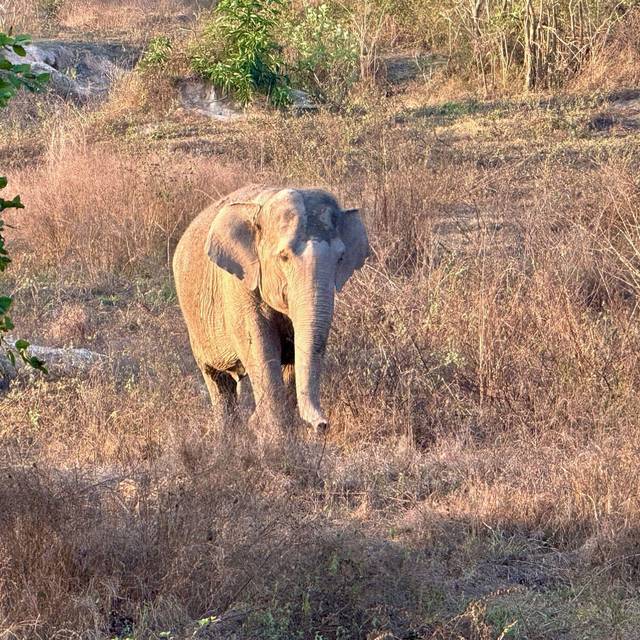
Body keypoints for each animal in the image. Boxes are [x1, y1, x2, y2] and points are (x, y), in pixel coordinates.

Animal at [172, 184, 369, 433]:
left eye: (340, 258)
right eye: (284, 257)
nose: (322, 425)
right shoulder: (239, 287)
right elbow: (260, 346)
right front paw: (271, 433)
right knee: (217, 381)